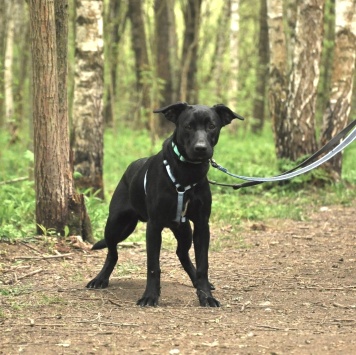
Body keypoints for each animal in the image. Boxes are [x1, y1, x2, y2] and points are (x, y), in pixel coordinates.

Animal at [88, 101, 245, 308]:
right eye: (188, 126)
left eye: (212, 126)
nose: (201, 148)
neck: (187, 172)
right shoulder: (154, 226)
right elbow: (153, 265)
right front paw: (150, 296)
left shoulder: (202, 225)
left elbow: (203, 264)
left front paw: (205, 295)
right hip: (116, 224)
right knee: (112, 252)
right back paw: (100, 278)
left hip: (184, 230)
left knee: (182, 253)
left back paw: (196, 282)